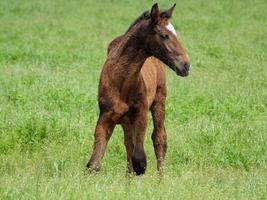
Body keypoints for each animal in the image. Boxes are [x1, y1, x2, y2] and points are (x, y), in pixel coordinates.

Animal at [87, 2, 191, 175]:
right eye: (164, 35)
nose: (186, 65)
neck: (122, 82)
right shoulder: (105, 115)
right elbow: (94, 163)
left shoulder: (141, 115)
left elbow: (140, 160)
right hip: (126, 120)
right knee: (129, 143)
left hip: (159, 102)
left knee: (159, 139)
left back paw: (161, 177)